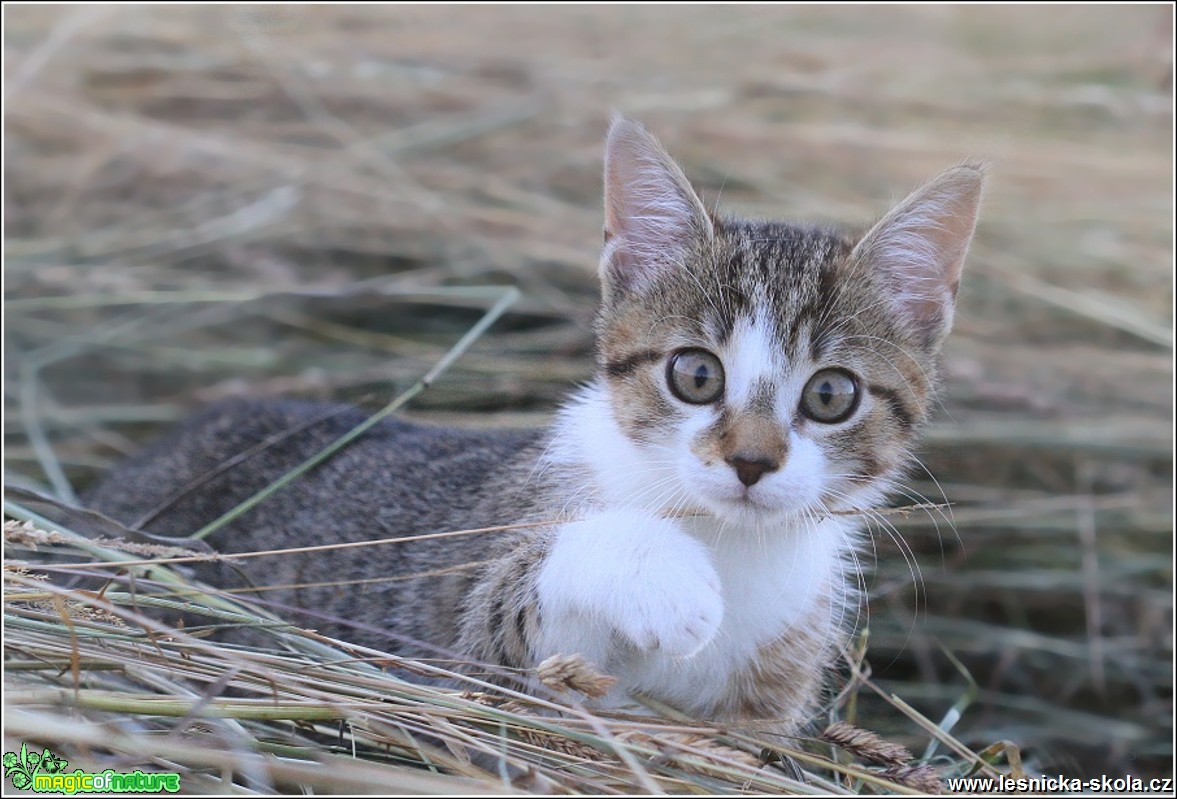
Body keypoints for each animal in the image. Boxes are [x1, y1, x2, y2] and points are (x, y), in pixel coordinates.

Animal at [85, 115, 983, 734]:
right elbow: (532, 599)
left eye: (830, 394)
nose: (751, 462)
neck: (733, 544)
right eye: (695, 375)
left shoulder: (761, 712)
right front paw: (666, 579)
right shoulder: (461, 650)